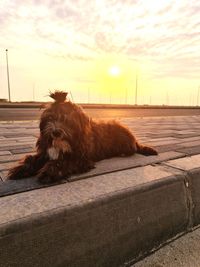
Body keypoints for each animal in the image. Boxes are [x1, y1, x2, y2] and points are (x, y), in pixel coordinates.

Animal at [7, 90, 158, 184]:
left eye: (67, 120)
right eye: (50, 118)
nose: (56, 132)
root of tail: (133, 138)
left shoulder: (81, 158)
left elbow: (63, 162)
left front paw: (49, 172)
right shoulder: (46, 151)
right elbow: (33, 158)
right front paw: (21, 169)